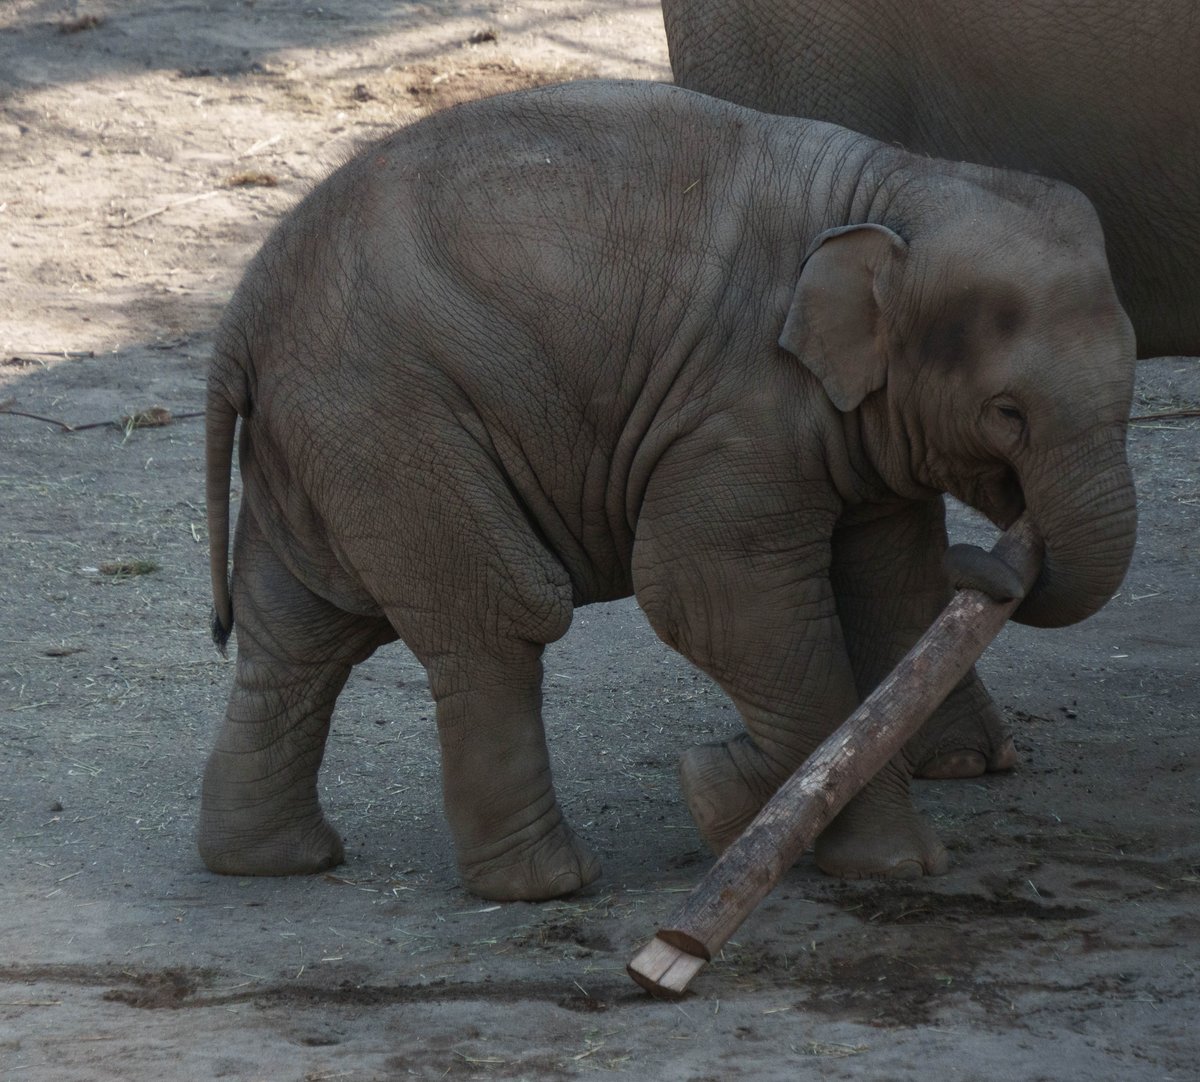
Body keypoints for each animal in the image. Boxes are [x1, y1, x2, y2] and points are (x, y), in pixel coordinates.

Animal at [200, 79, 1137, 903]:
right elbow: (710, 595)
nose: (1001, 559)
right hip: (394, 421)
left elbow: (891, 593)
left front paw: (755, 806)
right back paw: (547, 886)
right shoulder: (737, 407)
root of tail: (243, 310)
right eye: (1007, 413)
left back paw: (274, 862)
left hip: (325, 440)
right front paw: (756, 811)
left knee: (297, 631)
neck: (892, 181)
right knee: (500, 618)